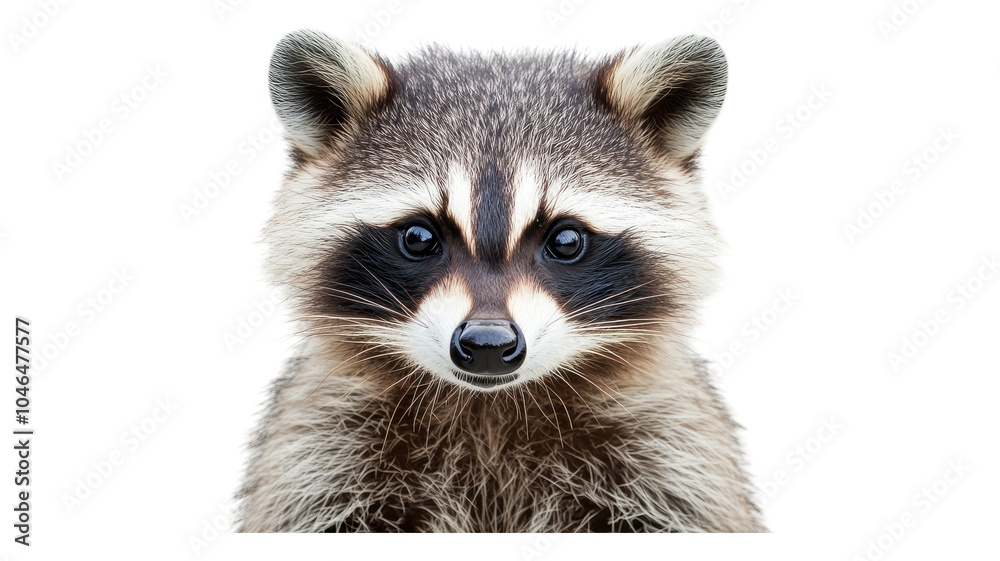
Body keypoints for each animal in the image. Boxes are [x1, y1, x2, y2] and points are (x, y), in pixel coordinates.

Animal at [237, 30, 763, 533]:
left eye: (566, 240)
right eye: (418, 237)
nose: (487, 343)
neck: (490, 408)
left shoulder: (669, 442)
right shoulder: (322, 442)